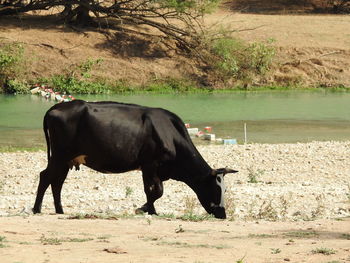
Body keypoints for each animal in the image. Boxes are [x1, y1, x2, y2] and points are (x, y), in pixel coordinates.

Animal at [33, 100, 238, 220]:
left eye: (226, 189)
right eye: (215, 188)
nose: (223, 214)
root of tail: (55, 108)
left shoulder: (153, 170)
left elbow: (152, 191)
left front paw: (151, 210)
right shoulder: (150, 165)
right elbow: (156, 191)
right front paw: (144, 209)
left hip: (66, 159)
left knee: (57, 181)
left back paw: (59, 210)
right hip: (60, 155)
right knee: (46, 177)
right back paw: (37, 209)